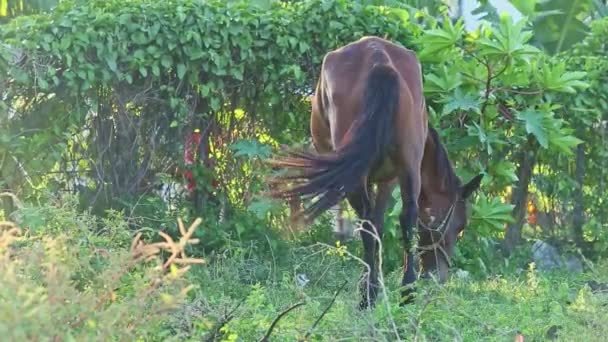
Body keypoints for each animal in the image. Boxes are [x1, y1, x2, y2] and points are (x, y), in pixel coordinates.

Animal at [268, 36, 482, 308]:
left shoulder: (384, 179)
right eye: (461, 225)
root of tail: (378, 60)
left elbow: (376, 224)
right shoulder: (391, 178)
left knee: (373, 225)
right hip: (404, 166)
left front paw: (372, 285)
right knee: (405, 218)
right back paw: (403, 291)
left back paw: (373, 294)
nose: (440, 275)